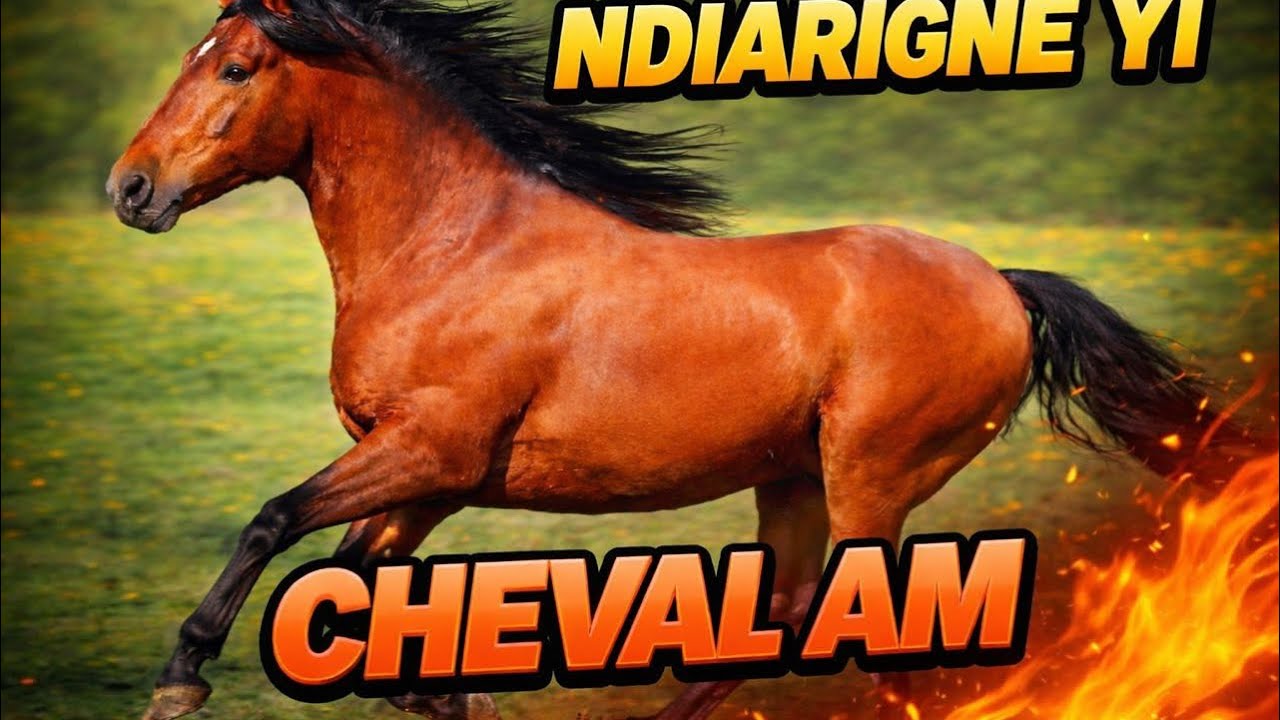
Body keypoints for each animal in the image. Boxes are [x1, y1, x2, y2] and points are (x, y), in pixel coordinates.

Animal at [107, 2, 1257, 719]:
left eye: (236, 66)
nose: (130, 188)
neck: (456, 247)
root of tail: (1003, 285)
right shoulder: (429, 475)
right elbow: (357, 597)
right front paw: (458, 692)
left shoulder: (431, 449)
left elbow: (272, 520)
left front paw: (181, 677)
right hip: (792, 480)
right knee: (785, 618)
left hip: (871, 477)